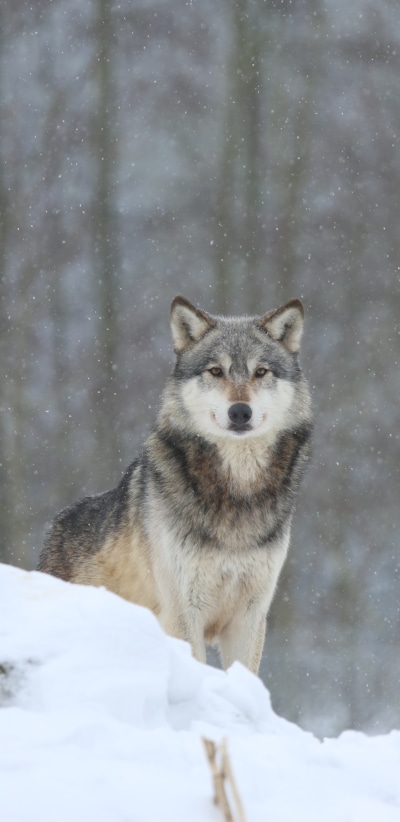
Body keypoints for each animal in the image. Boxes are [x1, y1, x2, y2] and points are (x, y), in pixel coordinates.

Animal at [38, 296, 313, 674]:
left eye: (261, 372)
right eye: (216, 371)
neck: (236, 492)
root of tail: (55, 527)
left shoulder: (250, 617)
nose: (240, 412)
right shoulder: (183, 612)